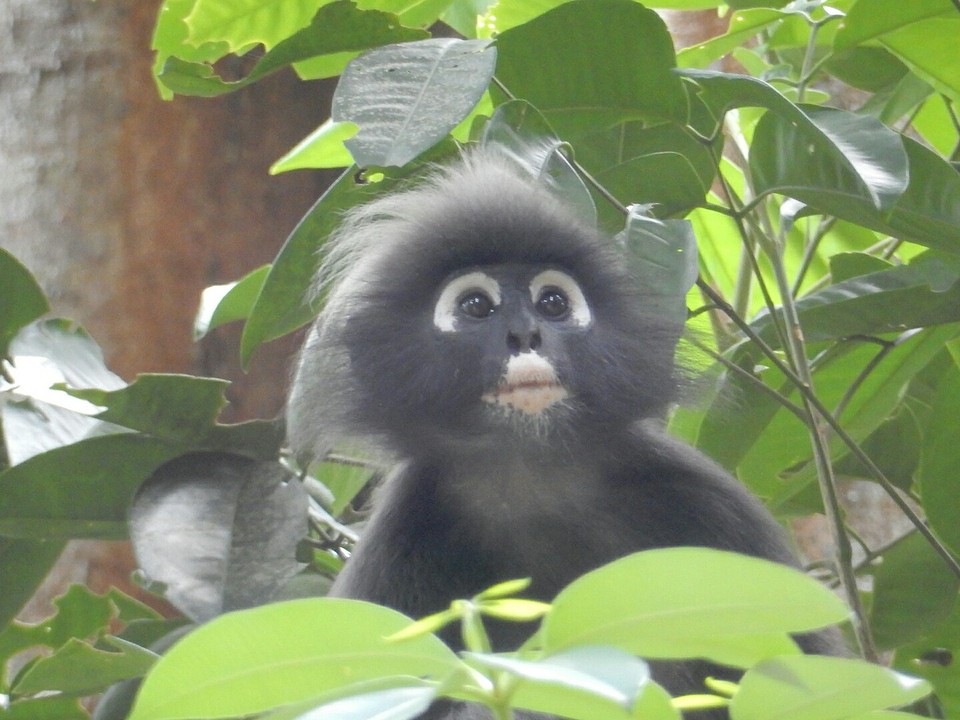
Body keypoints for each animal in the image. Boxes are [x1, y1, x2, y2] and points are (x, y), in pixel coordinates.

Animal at [285, 148, 845, 716]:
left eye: (552, 303)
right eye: (476, 306)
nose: (525, 334)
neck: (532, 480)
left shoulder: (705, 500)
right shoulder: (401, 537)